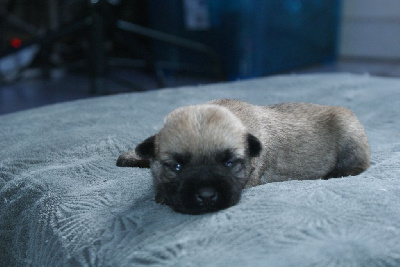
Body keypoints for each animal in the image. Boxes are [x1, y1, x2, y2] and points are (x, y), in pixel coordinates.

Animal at [117, 100, 370, 216]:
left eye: (230, 163)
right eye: (177, 166)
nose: (206, 196)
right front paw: (133, 157)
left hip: (350, 137)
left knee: (358, 165)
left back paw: (336, 173)